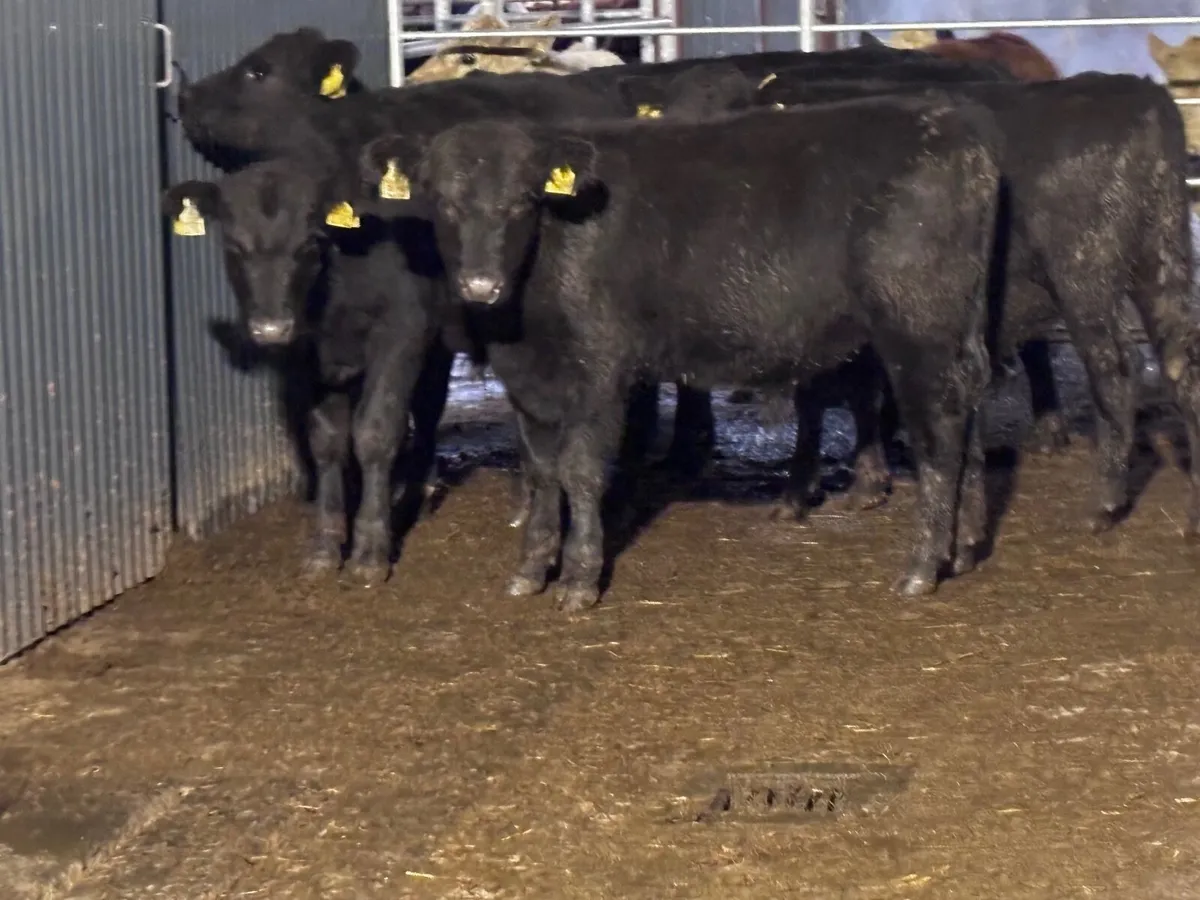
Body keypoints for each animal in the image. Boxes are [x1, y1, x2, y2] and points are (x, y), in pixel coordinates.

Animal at [357, 91, 1004, 608]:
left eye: (520, 202)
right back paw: (965, 547)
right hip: (958, 328)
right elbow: (540, 470)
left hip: (918, 327)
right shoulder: (528, 379)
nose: (480, 286)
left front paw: (579, 580)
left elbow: (580, 469)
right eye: (442, 202)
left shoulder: (600, 367)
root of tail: (955, 130)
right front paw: (531, 569)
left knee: (939, 431)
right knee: (970, 409)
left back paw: (922, 567)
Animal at [664, 66, 1200, 537]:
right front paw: (870, 477)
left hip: (1085, 274)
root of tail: (1140, 95)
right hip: (1161, 260)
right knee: (1181, 362)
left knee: (1115, 371)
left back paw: (1102, 504)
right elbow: (864, 394)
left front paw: (803, 493)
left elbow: (817, 400)